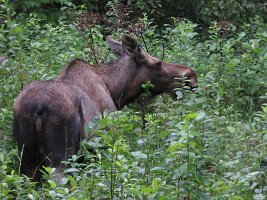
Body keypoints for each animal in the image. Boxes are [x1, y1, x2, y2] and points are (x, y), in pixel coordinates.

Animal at [12, 34, 198, 181]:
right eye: (157, 63)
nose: (191, 76)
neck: (114, 90)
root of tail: (37, 108)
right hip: (62, 158)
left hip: (26, 160)